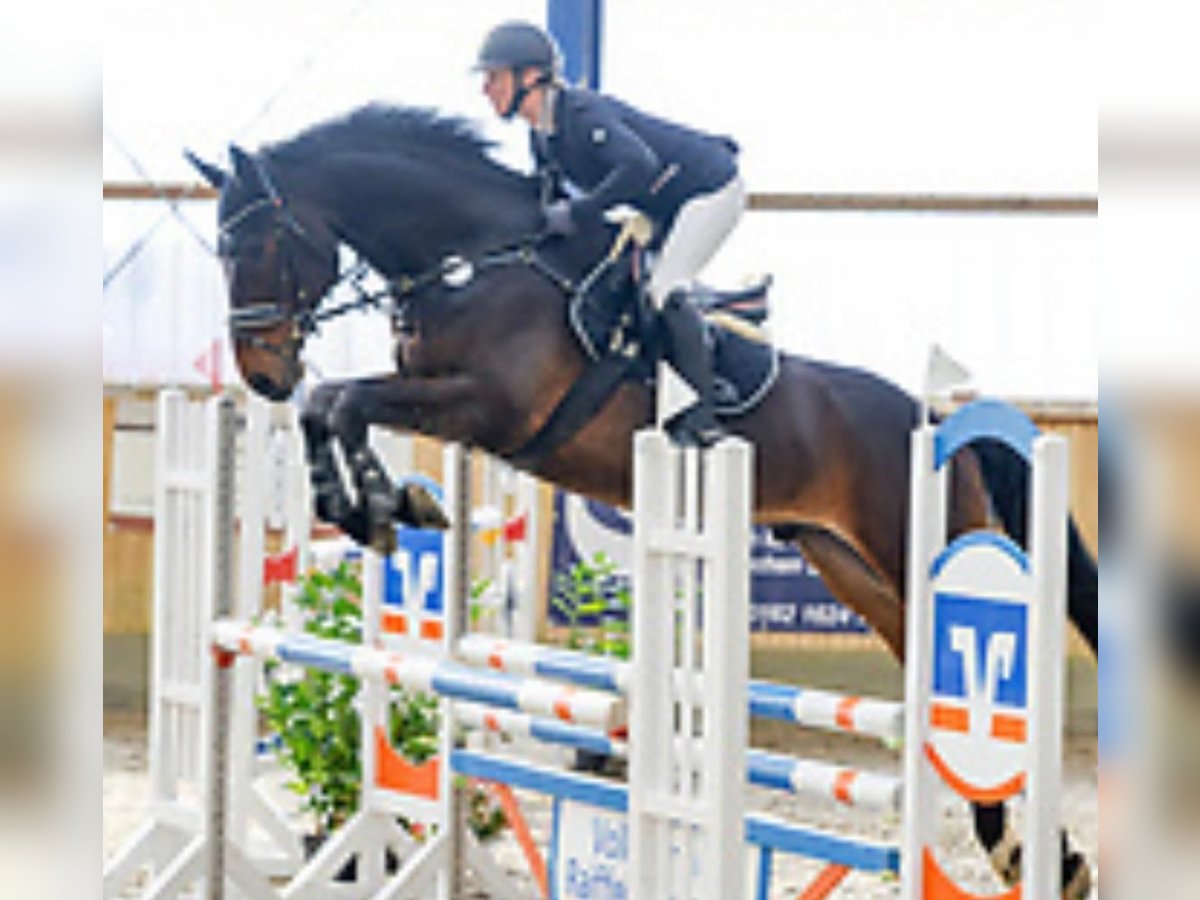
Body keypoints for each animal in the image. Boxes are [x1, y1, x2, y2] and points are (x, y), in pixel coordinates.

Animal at [187, 103, 1099, 897]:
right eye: (223, 252)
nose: (260, 374)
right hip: (850, 563)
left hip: (916, 546)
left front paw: (381, 505)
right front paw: (390, 504)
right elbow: (330, 405)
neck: (478, 259)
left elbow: (340, 400)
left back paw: (1039, 857)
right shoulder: (440, 400)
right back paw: (1027, 856)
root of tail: (937, 418)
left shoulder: (488, 406)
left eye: (257, 242)